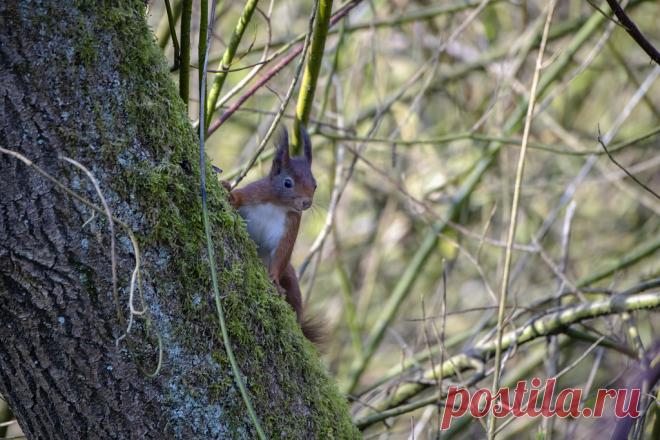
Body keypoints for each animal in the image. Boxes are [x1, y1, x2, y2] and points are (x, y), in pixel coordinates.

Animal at [224, 126, 323, 343]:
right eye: (287, 183)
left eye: (315, 184)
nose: (306, 203)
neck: (278, 204)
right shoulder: (255, 192)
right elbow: (239, 196)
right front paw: (228, 191)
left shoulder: (291, 225)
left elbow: (282, 253)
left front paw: (274, 281)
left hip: (291, 280)